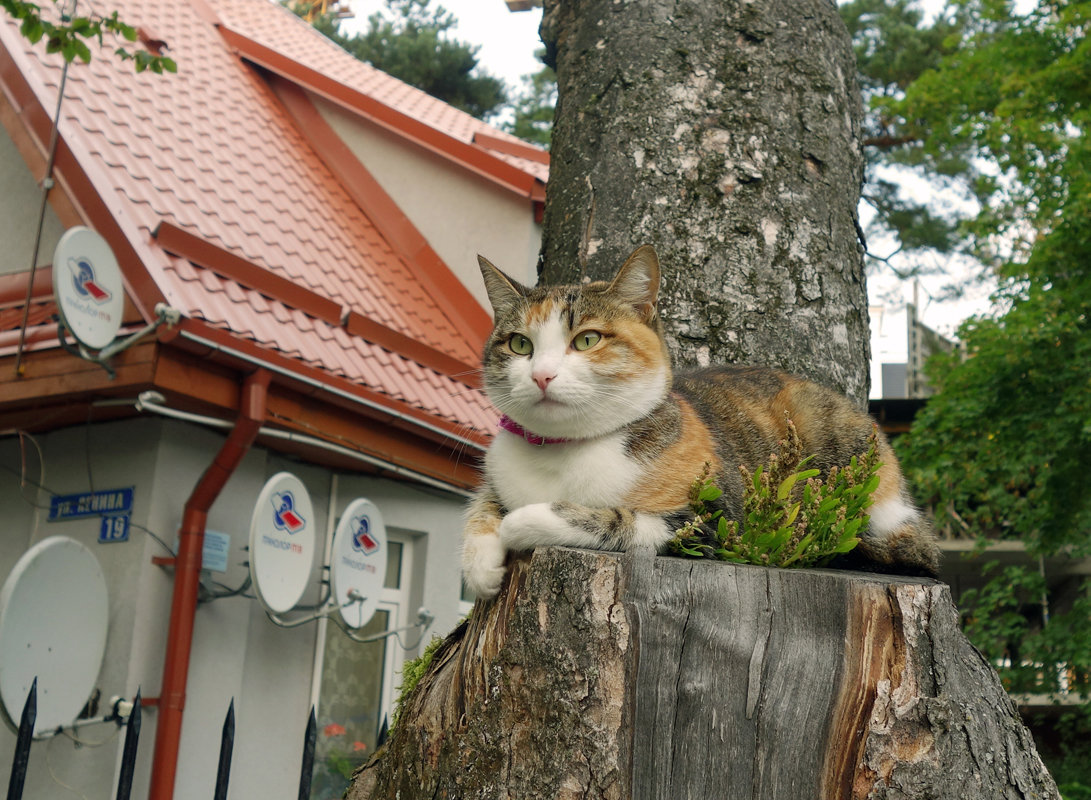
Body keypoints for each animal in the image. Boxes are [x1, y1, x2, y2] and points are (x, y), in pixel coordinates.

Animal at [460, 243, 938, 598]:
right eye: (520, 344)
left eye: (587, 339)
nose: (541, 374)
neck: (562, 453)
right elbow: (482, 507)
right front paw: (482, 565)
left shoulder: (715, 521)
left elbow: (619, 520)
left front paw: (519, 523)